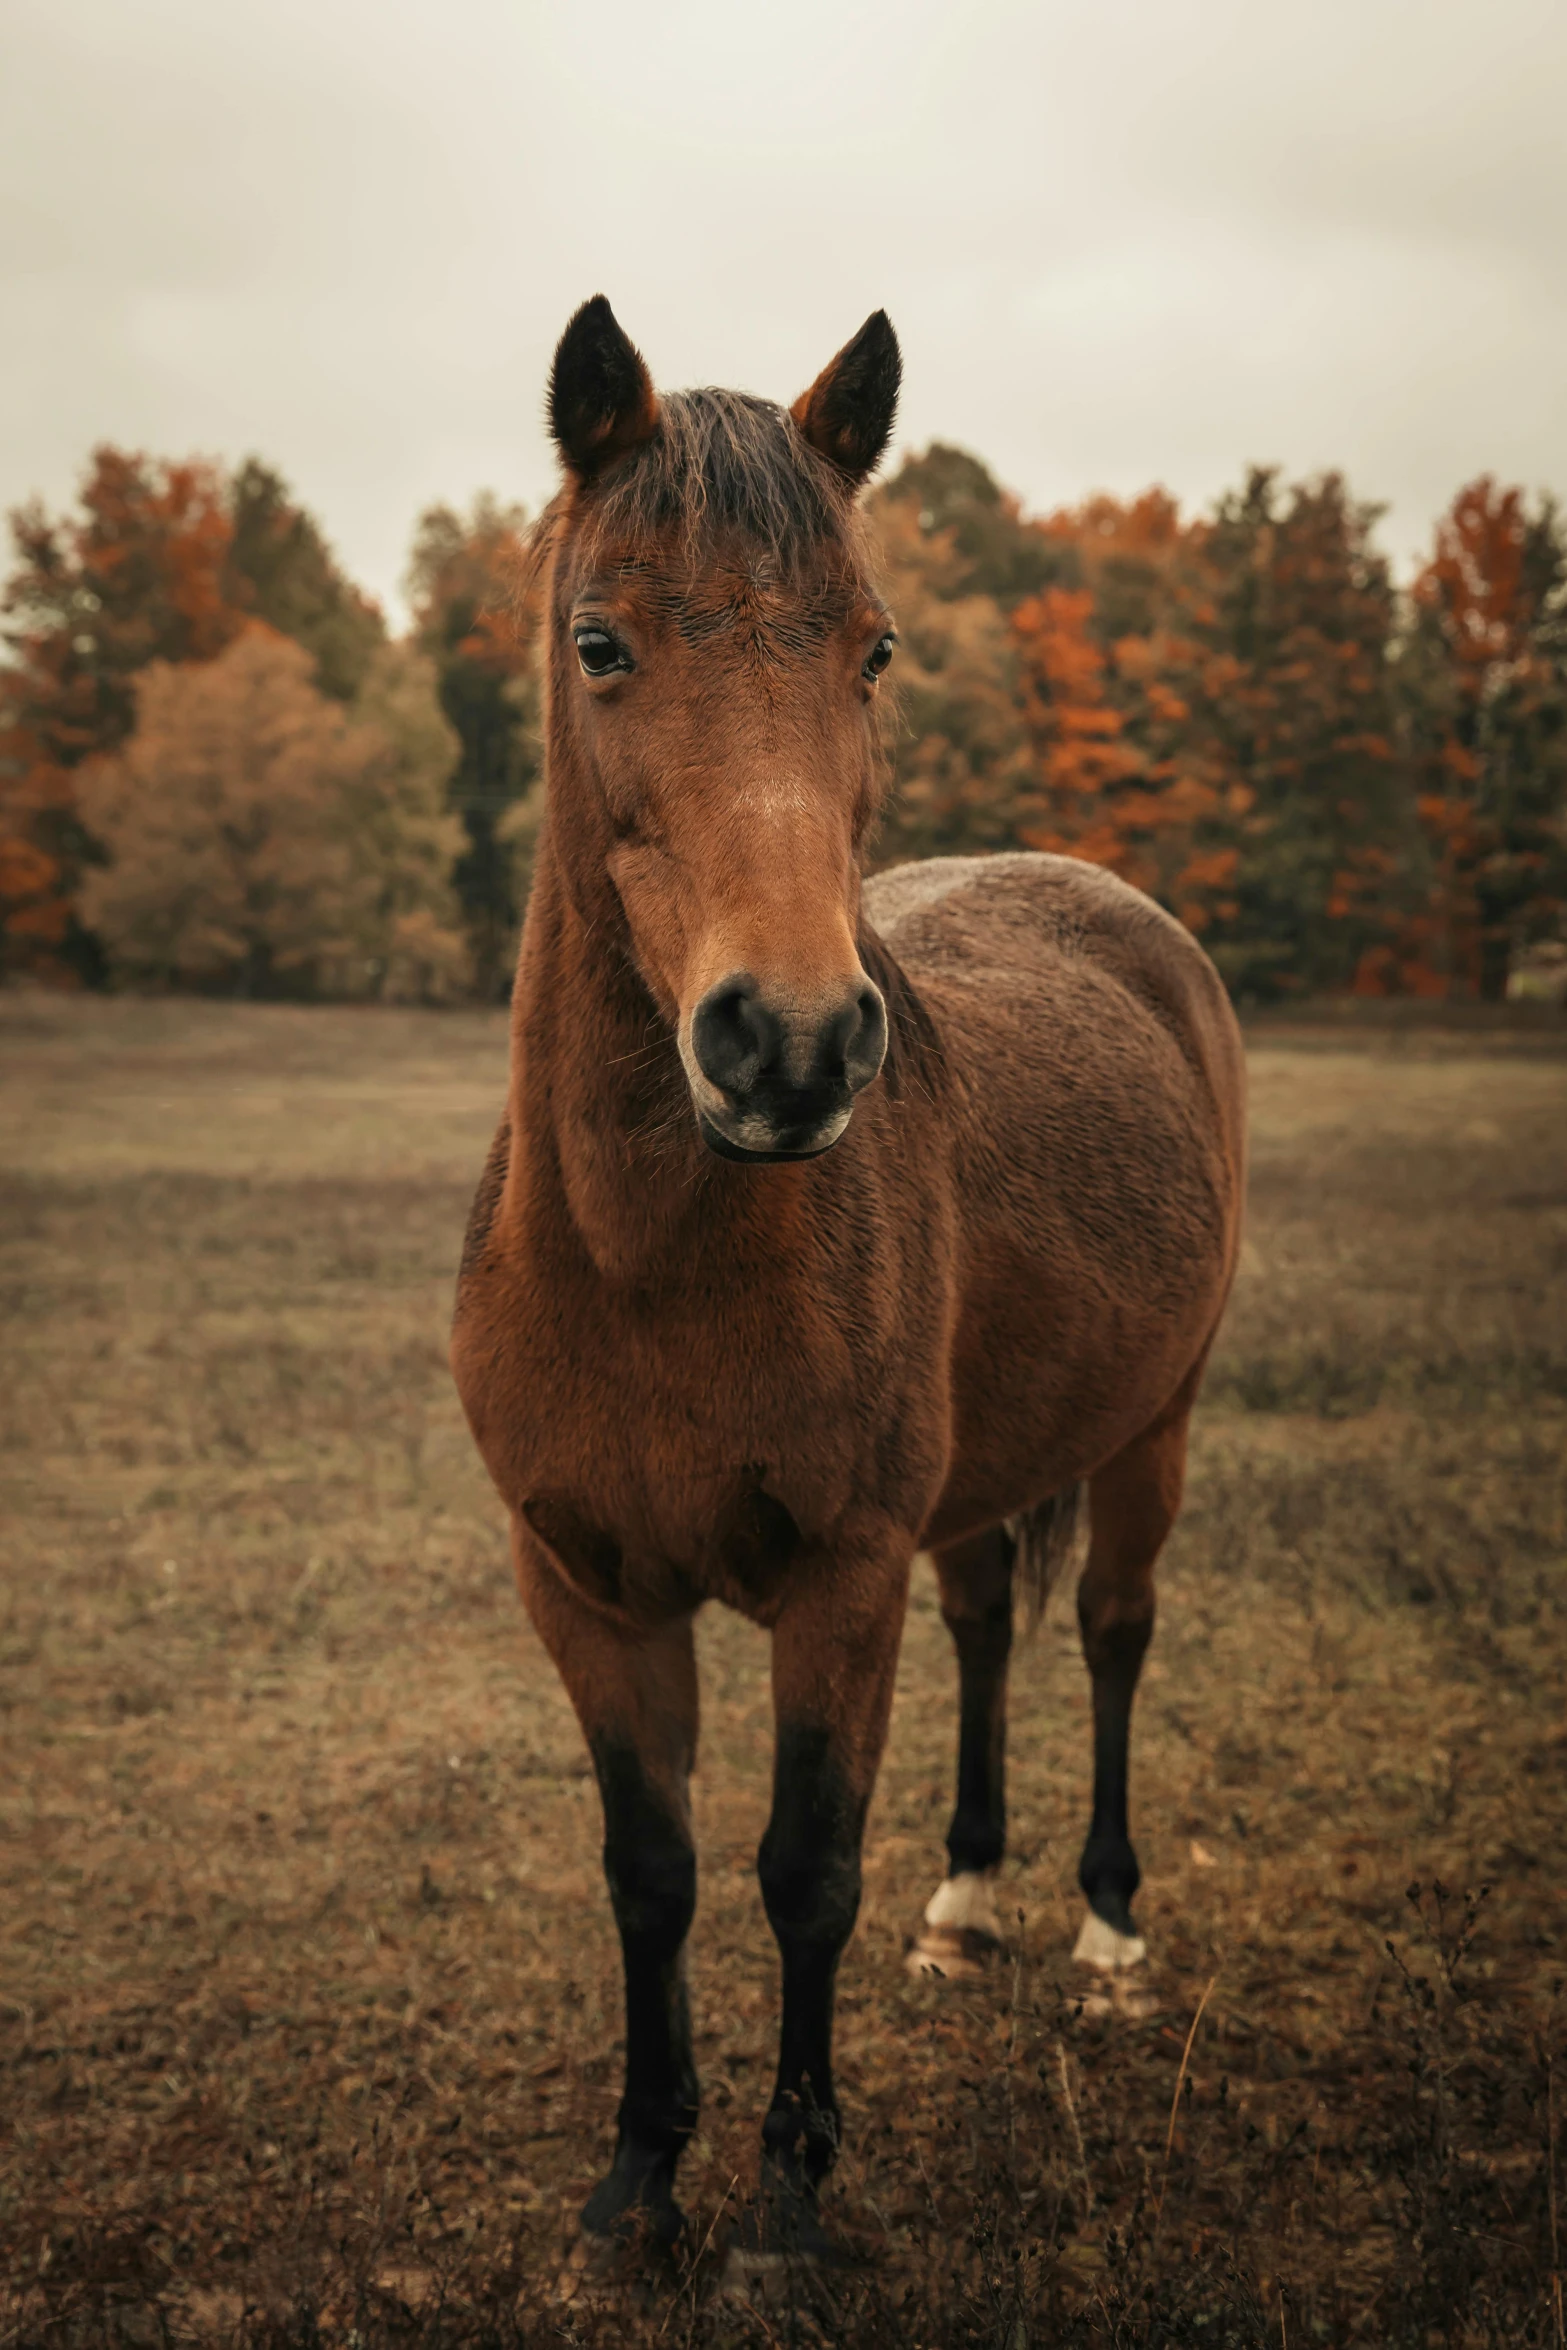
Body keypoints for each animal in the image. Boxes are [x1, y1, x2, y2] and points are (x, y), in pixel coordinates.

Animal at [453, 298, 1249, 2274]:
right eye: (599, 640)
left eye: (872, 644)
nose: (795, 1043)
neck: (645, 1269)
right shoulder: (583, 1587)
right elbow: (649, 1876)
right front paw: (636, 2176)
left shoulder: (834, 1579)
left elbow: (799, 1873)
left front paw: (786, 2199)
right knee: (984, 1626)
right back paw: (965, 1906)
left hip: (1153, 1426)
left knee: (1107, 1632)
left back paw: (1104, 1932)